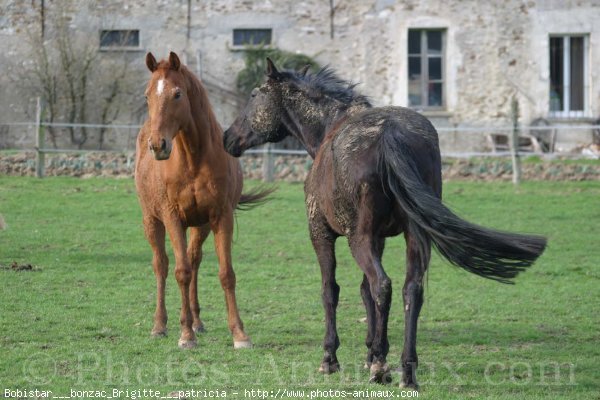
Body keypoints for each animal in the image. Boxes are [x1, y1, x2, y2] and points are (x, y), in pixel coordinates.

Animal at [136, 52, 270, 350]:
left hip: (200, 225)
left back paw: (196, 320)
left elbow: (225, 273)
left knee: (194, 259)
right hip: (152, 220)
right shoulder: (172, 217)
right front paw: (186, 335)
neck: (193, 159)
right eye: (147, 95)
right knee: (161, 265)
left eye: (177, 94)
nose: (158, 145)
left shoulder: (220, 217)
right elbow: (181, 272)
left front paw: (239, 334)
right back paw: (160, 325)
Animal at [223, 59, 548, 388]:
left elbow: (332, 291)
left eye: (254, 95)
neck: (329, 128)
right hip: (413, 237)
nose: (228, 138)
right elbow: (364, 291)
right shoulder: (379, 238)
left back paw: (381, 366)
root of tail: (390, 134)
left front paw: (333, 358)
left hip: (359, 239)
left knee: (383, 285)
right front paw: (371, 352)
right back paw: (406, 370)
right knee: (410, 290)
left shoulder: (322, 234)